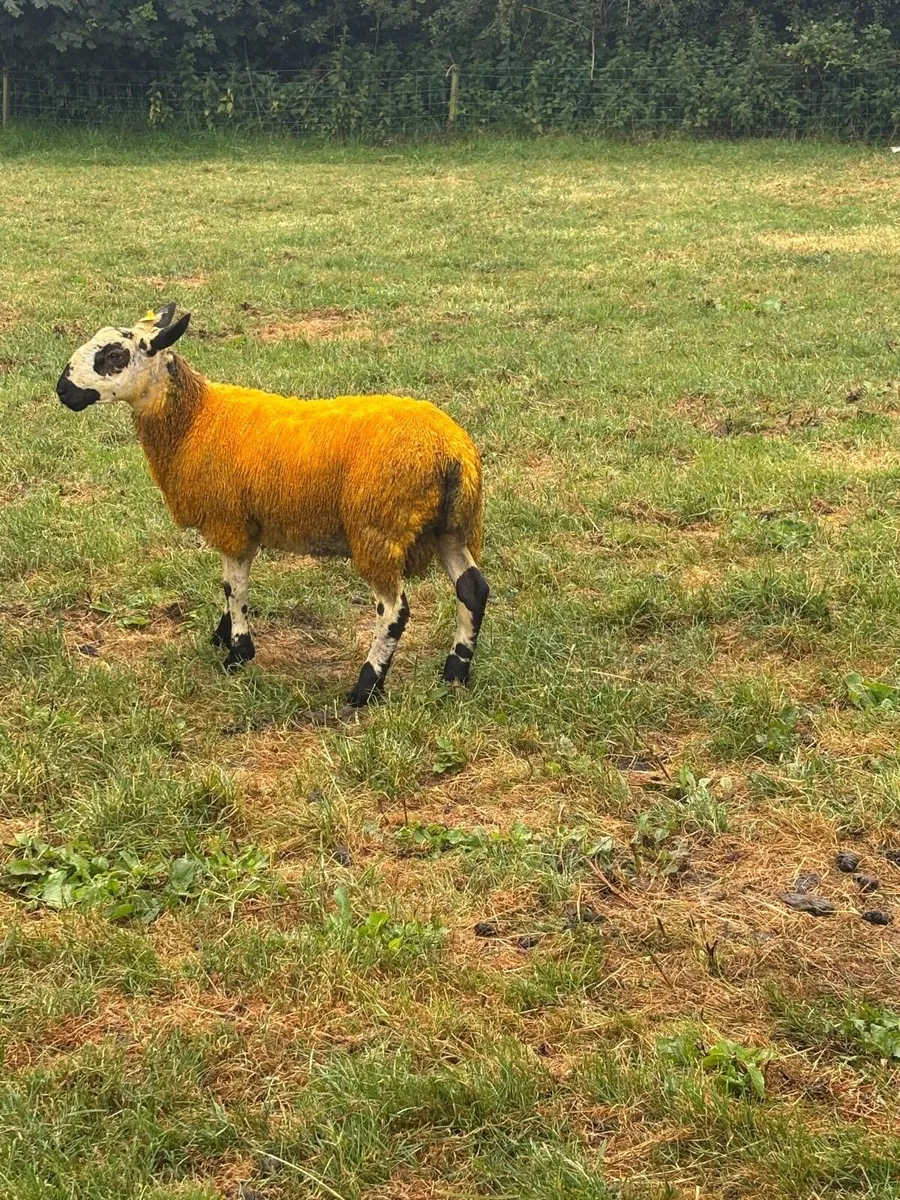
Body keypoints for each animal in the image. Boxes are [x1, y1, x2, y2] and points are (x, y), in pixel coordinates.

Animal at [56, 303, 489, 707]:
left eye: (115, 355)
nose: (63, 390)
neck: (195, 420)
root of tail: (451, 451)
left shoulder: (229, 520)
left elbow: (233, 587)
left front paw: (238, 653)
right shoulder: (248, 524)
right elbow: (230, 588)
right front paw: (224, 635)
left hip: (379, 529)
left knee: (395, 611)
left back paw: (366, 687)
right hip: (450, 528)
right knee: (472, 589)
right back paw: (455, 673)